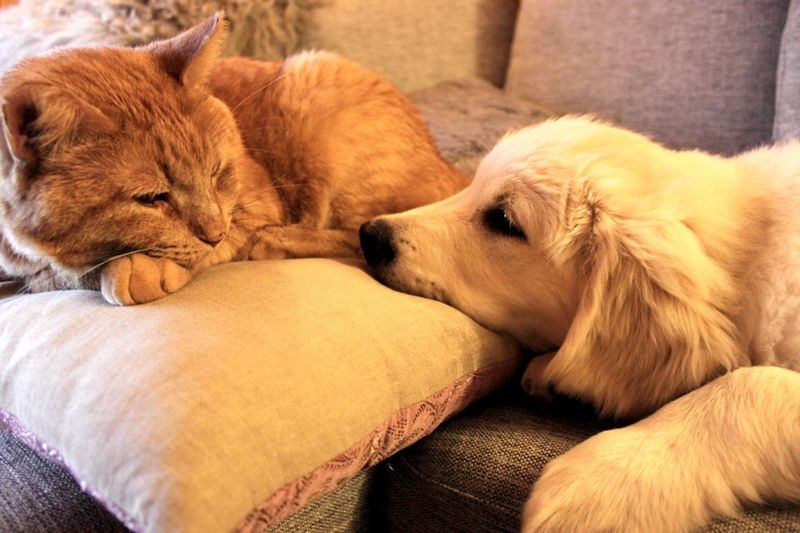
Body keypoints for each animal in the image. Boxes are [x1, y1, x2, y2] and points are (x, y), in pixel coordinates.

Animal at [0, 11, 466, 304]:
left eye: (217, 172)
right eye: (150, 199)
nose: (214, 232)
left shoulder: (254, 206)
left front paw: (142, 270)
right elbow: (50, 275)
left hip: (312, 80)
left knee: (364, 232)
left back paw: (276, 241)